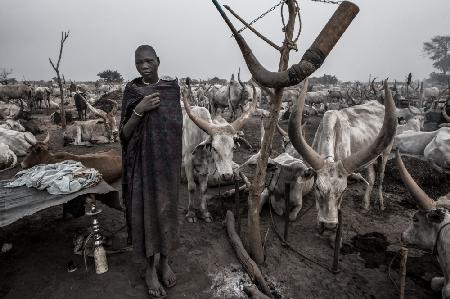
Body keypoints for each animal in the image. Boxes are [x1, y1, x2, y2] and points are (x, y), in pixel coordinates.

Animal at [286, 78, 396, 233]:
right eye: (317, 188)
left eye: (344, 191)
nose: (329, 226)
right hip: (369, 158)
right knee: (371, 177)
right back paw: (365, 204)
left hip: (385, 153)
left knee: (380, 177)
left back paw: (380, 204)